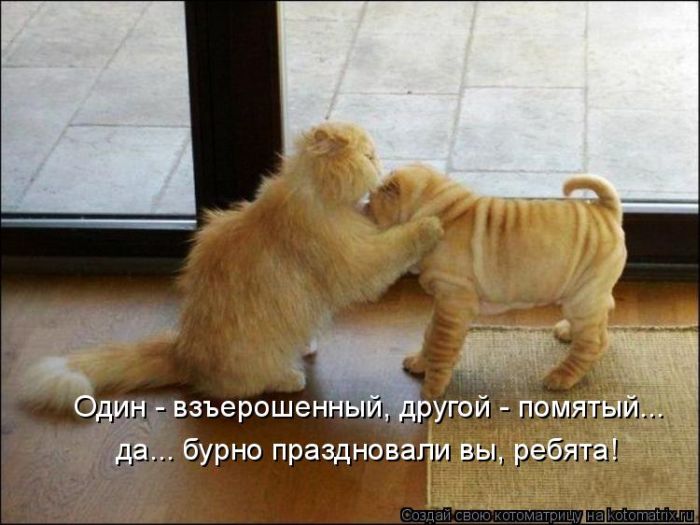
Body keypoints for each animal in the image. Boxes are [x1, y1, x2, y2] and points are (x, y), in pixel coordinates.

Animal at [21, 122, 444, 412]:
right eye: (368, 156)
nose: (381, 160)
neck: (314, 195)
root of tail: (182, 351)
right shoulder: (358, 261)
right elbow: (397, 243)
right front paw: (430, 224)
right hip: (261, 358)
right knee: (249, 386)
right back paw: (290, 376)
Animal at [367, 163, 627, 398]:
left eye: (372, 201)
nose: (364, 207)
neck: (444, 213)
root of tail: (606, 210)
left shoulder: (453, 303)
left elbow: (440, 345)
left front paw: (432, 388)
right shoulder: (444, 305)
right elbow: (430, 335)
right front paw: (421, 363)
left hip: (582, 298)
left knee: (591, 343)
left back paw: (562, 375)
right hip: (586, 295)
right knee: (602, 322)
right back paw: (569, 332)